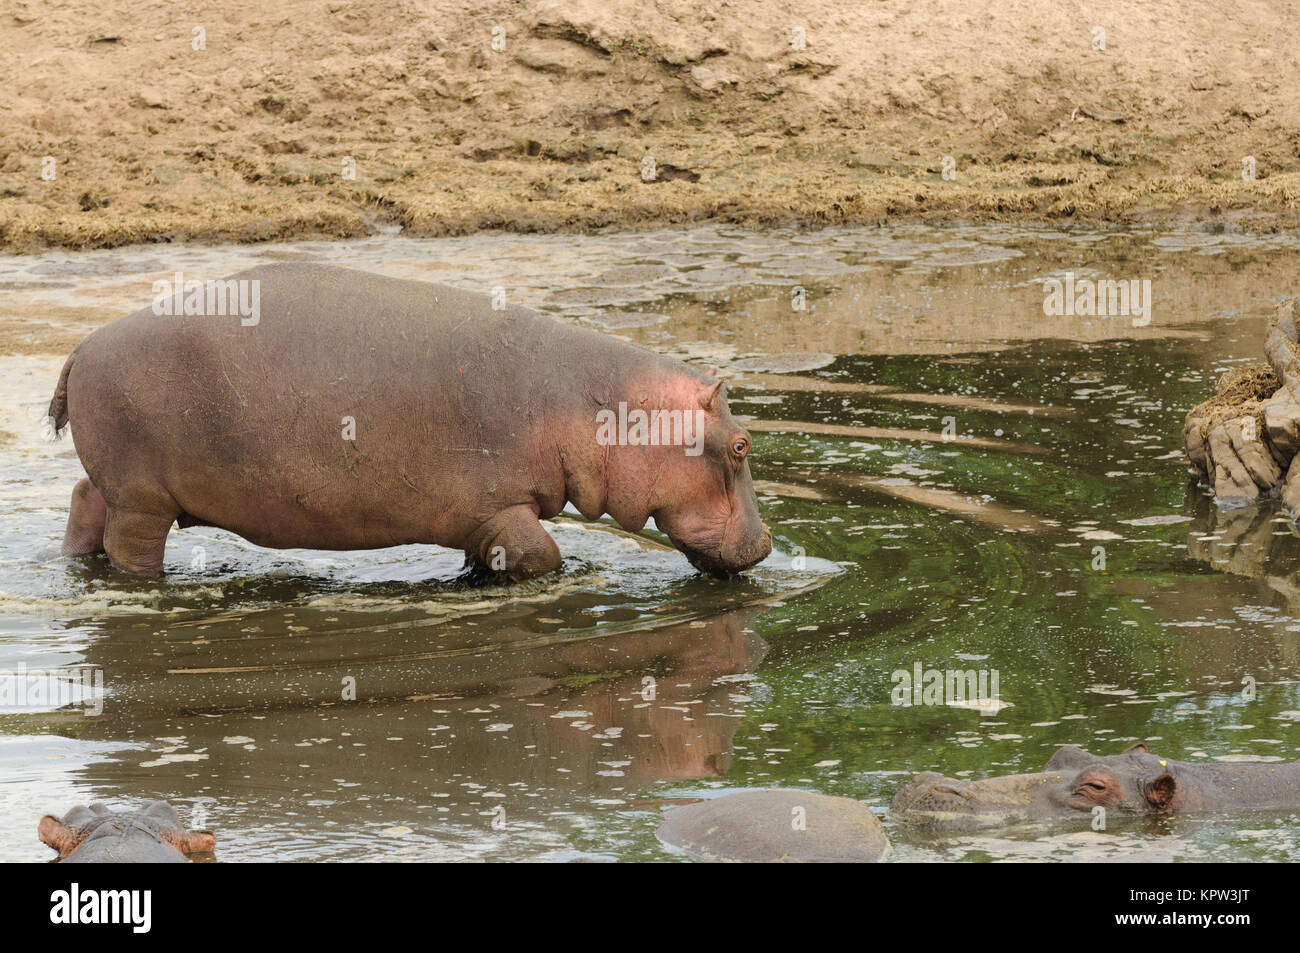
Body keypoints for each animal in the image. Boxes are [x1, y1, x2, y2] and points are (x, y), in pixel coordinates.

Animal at [45, 263, 764, 582]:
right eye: (741, 444)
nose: (766, 545)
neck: (606, 407)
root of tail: (83, 344)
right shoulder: (503, 507)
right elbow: (543, 555)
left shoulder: (479, 520)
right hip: (144, 498)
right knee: (130, 545)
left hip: (121, 486)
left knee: (83, 504)